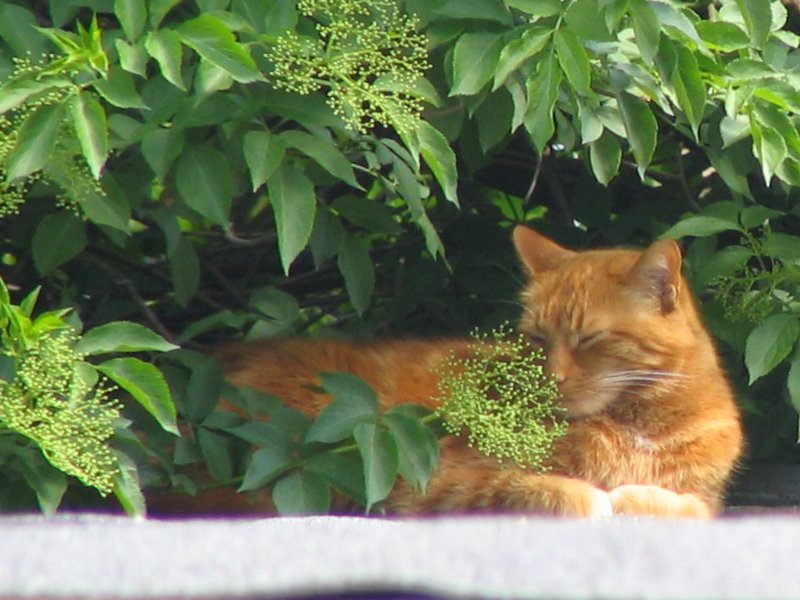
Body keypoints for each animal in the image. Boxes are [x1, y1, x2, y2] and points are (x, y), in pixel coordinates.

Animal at [162, 227, 744, 516]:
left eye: (588, 339)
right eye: (537, 339)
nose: (548, 378)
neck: (641, 423)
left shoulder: (705, 499)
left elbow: (683, 507)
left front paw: (638, 497)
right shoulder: (440, 483)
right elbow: (556, 490)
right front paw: (600, 497)